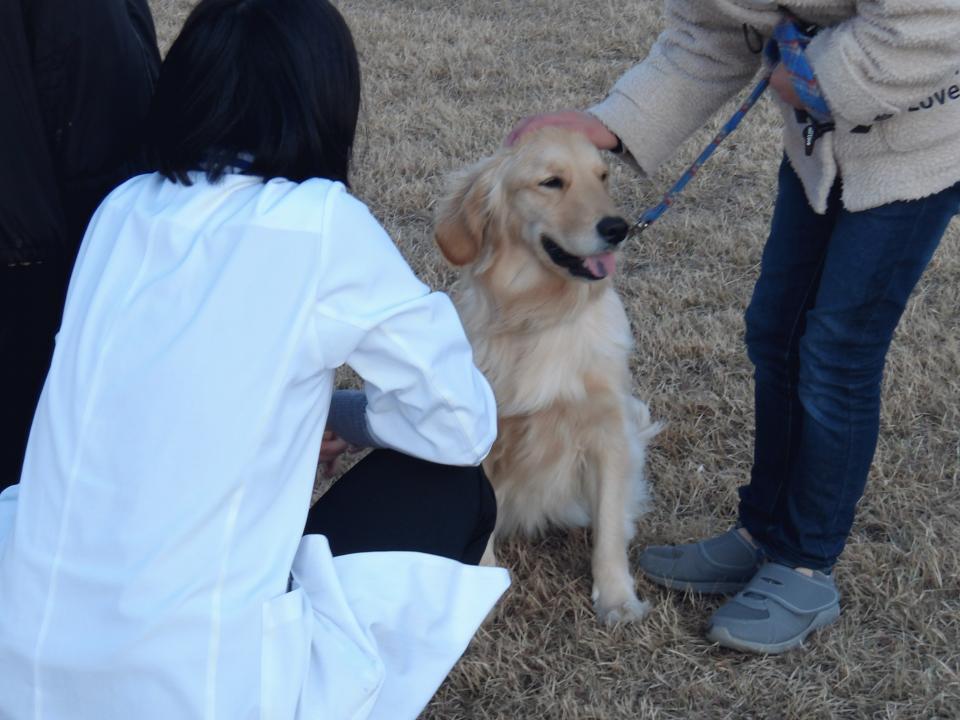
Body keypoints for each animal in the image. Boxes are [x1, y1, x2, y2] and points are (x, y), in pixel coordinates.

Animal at [434, 127, 661, 623]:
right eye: (551, 182)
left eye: (602, 176)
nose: (617, 228)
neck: (540, 313)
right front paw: (484, 585)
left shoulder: (609, 431)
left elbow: (609, 527)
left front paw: (617, 598)